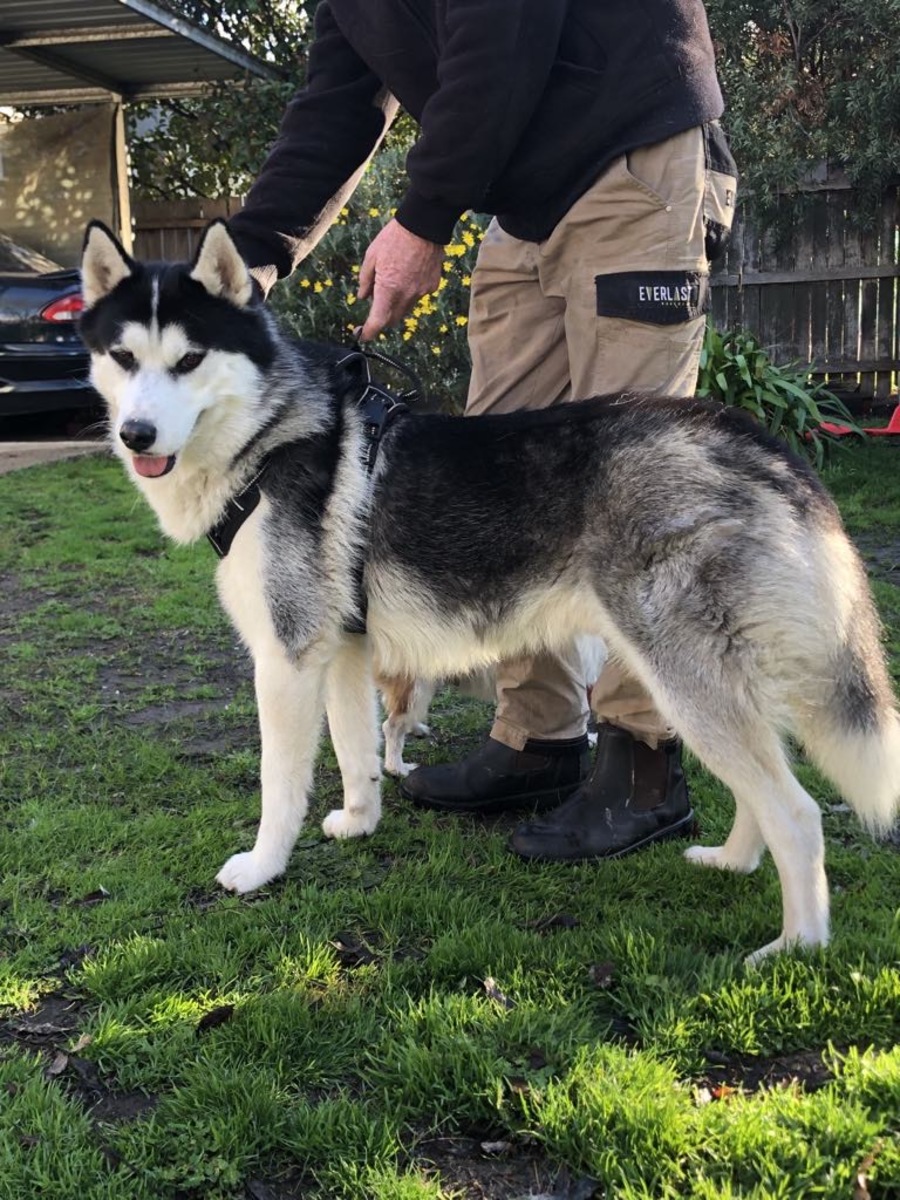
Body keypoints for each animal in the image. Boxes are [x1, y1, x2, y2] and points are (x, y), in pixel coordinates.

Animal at [79, 219, 900, 964]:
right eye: (124, 358)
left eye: (189, 360)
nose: (136, 435)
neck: (269, 438)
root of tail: (758, 439)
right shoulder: (343, 652)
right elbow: (356, 751)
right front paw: (359, 822)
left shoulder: (285, 660)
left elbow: (279, 784)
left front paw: (261, 868)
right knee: (765, 790)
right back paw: (733, 861)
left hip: (685, 681)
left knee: (798, 812)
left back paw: (796, 946)